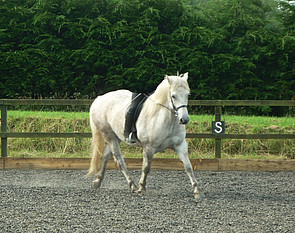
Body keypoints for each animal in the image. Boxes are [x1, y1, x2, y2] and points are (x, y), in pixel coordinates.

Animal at [86, 72, 205, 200]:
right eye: (173, 96)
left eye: (188, 94)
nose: (184, 119)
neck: (167, 120)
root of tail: (99, 99)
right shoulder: (149, 148)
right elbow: (146, 167)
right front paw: (141, 187)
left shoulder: (180, 146)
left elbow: (188, 167)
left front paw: (197, 191)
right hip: (109, 137)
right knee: (119, 161)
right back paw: (132, 185)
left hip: (115, 137)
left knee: (105, 156)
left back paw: (98, 181)